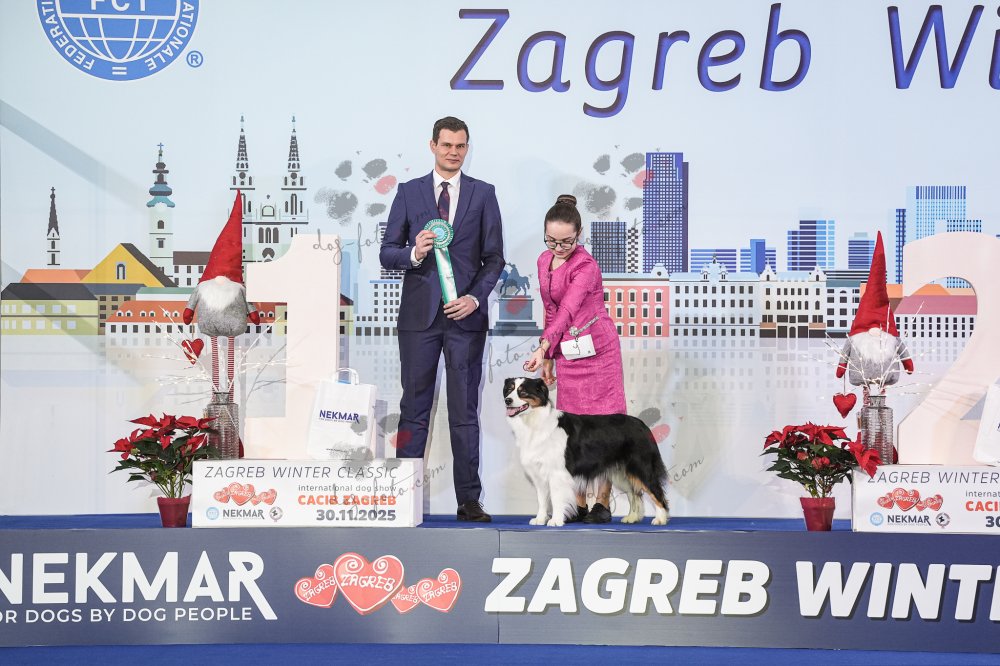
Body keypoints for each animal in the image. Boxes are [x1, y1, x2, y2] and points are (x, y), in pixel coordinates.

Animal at [503, 377, 670, 527]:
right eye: (509, 390)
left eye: (523, 392)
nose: (507, 400)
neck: (535, 422)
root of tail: (642, 425)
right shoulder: (539, 473)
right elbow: (542, 500)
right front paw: (540, 519)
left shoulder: (557, 473)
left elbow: (556, 499)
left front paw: (555, 521)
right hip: (622, 473)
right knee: (634, 493)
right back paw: (632, 517)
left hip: (641, 467)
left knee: (656, 492)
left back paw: (660, 519)